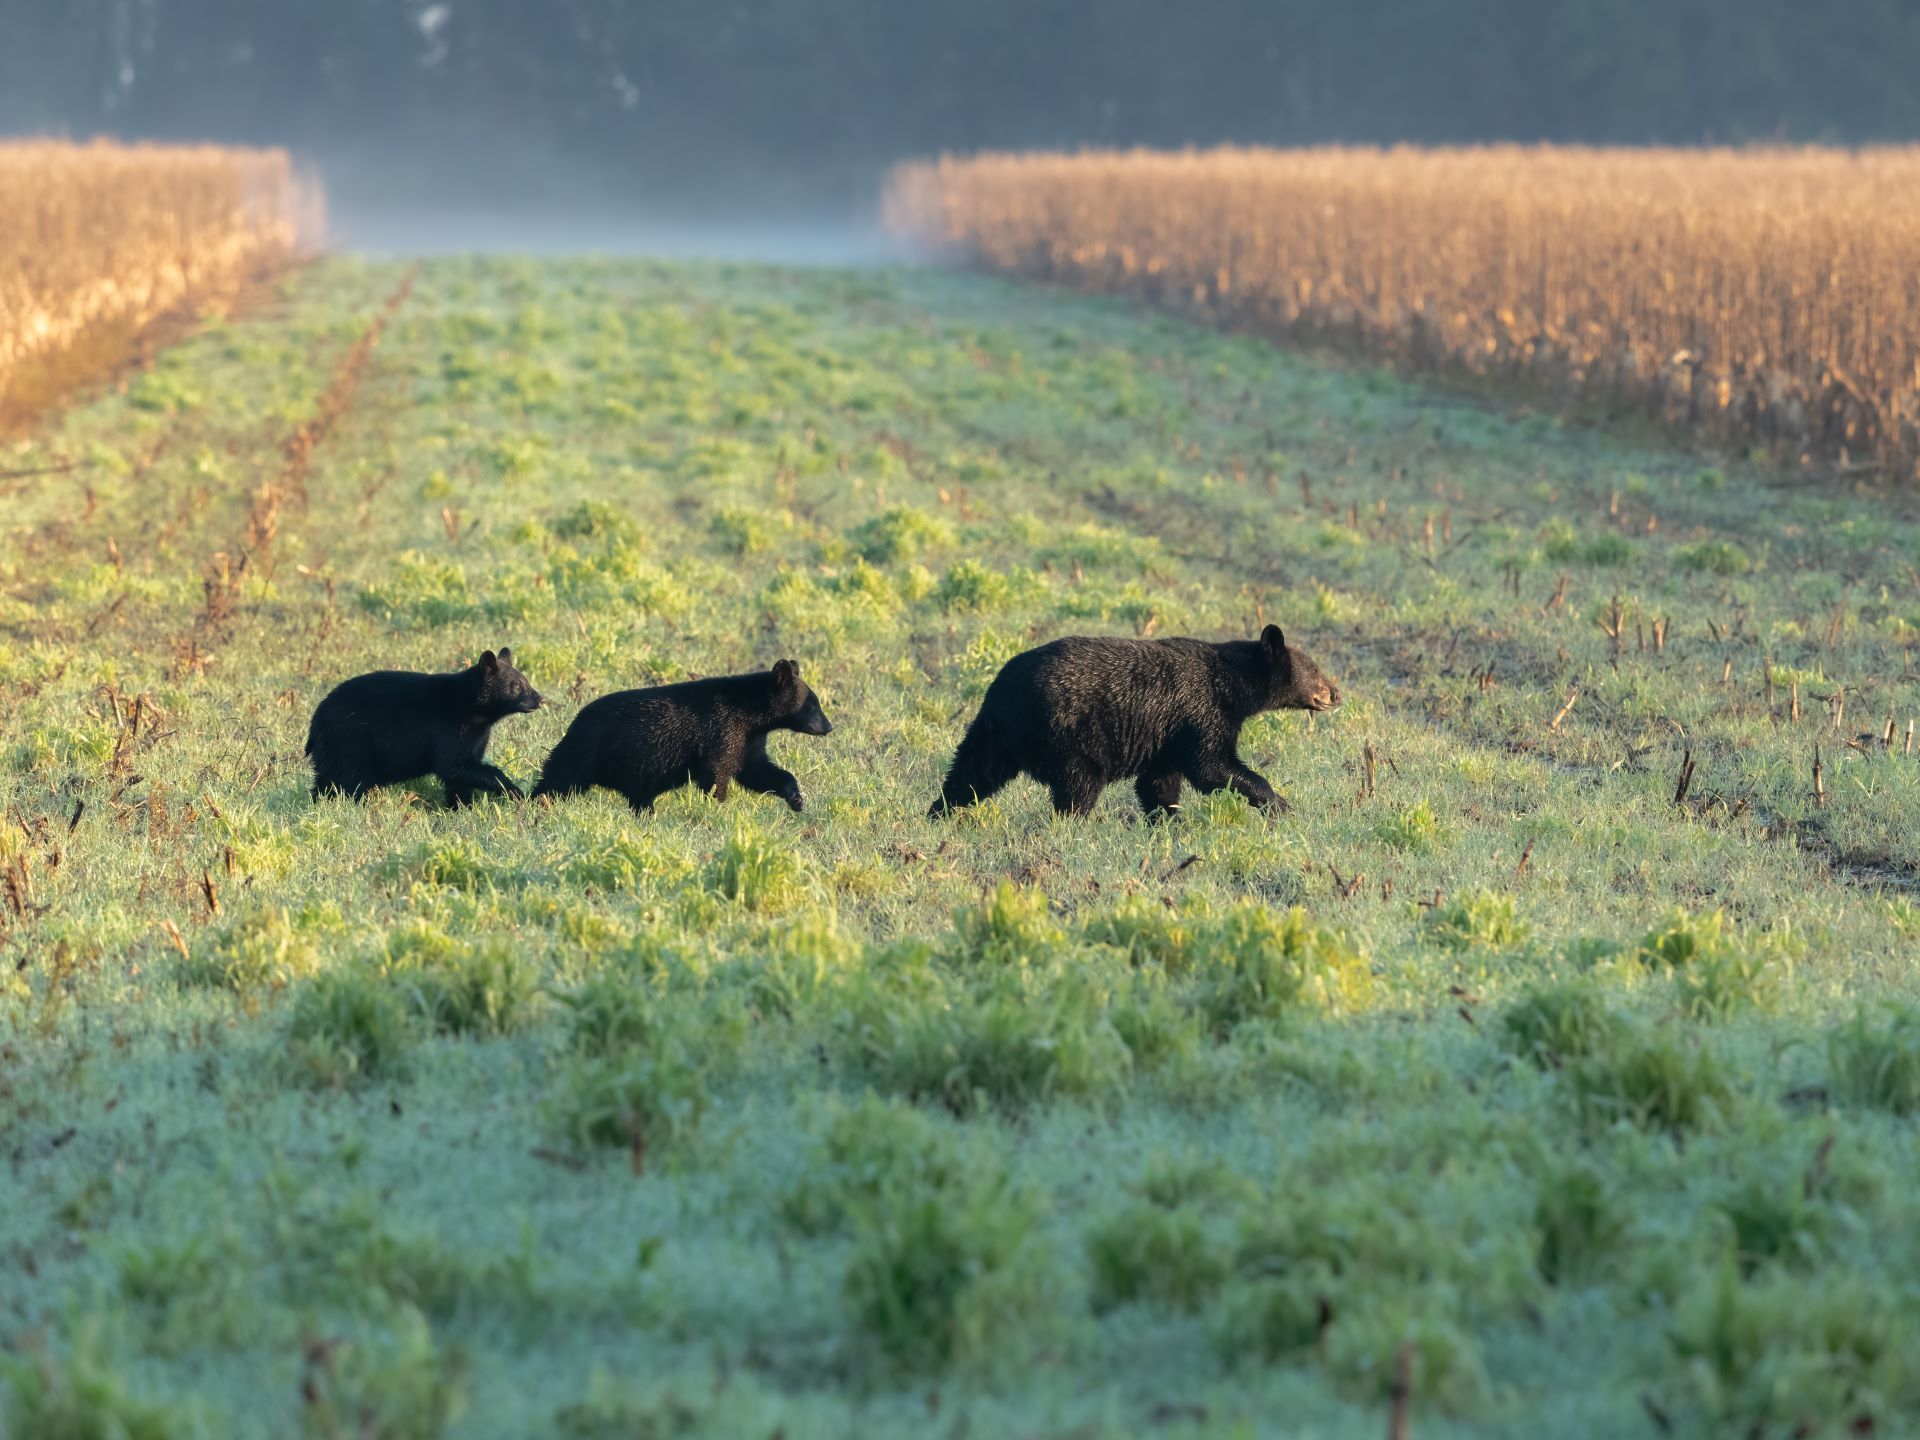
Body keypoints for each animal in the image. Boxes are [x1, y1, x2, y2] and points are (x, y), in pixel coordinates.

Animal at [306, 648, 545, 805]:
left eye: (526, 681)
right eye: (516, 686)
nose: (541, 699)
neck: (473, 709)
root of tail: (316, 721)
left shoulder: (475, 736)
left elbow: (461, 771)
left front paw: (462, 806)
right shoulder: (450, 730)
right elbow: (452, 764)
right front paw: (515, 791)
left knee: (327, 779)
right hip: (350, 742)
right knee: (349, 778)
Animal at [531, 659, 832, 813]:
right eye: (813, 704)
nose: (828, 727)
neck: (750, 716)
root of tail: (575, 721)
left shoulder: (748, 740)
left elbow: (756, 771)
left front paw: (796, 798)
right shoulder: (721, 730)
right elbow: (716, 771)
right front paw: (716, 806)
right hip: (586, 751)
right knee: (558, 778)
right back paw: (534, 802)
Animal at [928, 624, 1340, 819]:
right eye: (1315, 670)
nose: (1337, 694)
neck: (1230, 685)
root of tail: (1002, 694)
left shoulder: (1169, 734)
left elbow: (1159, 782)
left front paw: (1170, 822)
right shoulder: (1201, 712)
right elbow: (1212, 767)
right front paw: (1280, 804)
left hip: (993, 734)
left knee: (971, 773)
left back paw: (939, 812)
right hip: (1067, 736)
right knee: (1077, 787)